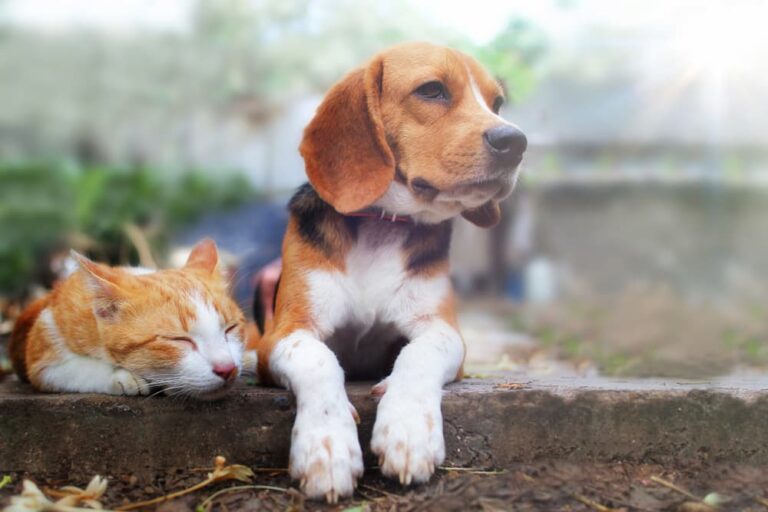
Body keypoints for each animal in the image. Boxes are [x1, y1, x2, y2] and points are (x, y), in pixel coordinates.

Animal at [9, 238, 249, 398]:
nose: (227, 369)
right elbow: (76, 369)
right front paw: (124, 377)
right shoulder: (42, 352)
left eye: (231, 328)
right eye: (179, 340)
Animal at [249, 42, 524, 502]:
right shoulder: (284, 334)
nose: (516, 141)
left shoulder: (442, 329)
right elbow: (319, 359)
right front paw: (327, 445)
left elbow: (418, 354)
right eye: (431, 90)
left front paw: (408, 430)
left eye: (497, 103)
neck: (382, 224)